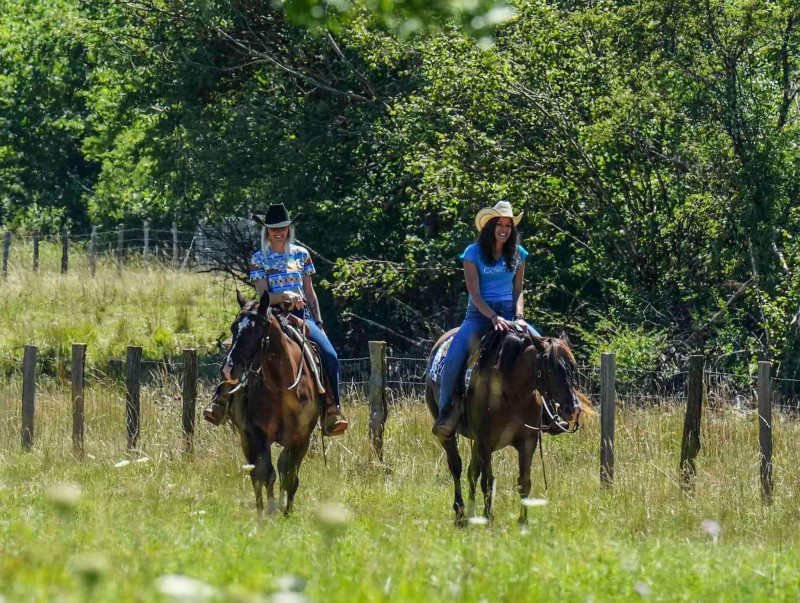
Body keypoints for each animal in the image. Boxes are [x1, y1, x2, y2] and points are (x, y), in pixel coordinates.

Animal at [217, 292, 324, 516]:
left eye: (256, 329)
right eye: (234, 327)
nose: (228, 369)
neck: (281, 385)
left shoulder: (302, 437)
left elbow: (290, 474)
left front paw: (286, 510)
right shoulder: (256, 433)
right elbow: (265, 472)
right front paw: (269, 511)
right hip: (246, 438)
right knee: (256, 473)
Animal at [424, 328, 588, 528]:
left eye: (572, 368)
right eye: (550, 368)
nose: (573, 408)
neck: (512, 391)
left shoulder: (528, 440)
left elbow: (524, 482)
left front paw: (523, 522)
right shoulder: (485, 442)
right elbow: (488, 481)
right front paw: (488, 520)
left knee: (472, 473)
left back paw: (471, 514)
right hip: (449, 433)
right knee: (456, 467)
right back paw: (460, 515)